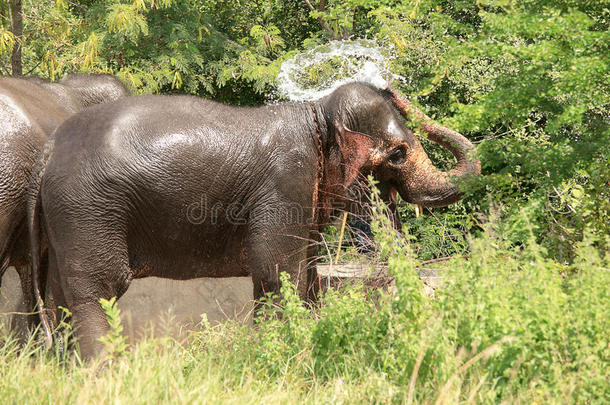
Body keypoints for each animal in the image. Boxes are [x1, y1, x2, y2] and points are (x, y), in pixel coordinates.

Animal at [29, 82, 480, 356]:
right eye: (399, 153)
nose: (391, 86)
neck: (317, 114)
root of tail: (48, 151)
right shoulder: (286, 185)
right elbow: (277, 274)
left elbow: (306, 278)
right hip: (88, 209)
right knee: (96, 291)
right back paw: (106, 371)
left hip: (65, 218)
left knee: (58, 295)